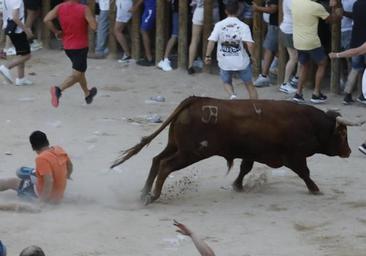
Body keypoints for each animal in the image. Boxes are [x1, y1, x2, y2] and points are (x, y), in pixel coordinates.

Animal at [111, 96, 364, 204]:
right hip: (191, 152)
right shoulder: (294, 156)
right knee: (165, 165)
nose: (349, 151)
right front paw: (315, 189)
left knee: (156, 160)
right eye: (342, 134)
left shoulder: (251, 154)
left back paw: (144, 192)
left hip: (175, 146)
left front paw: (237, 186)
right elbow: (305, 173)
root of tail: (194, 100)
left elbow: (244, 169)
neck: (310, 123)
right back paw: (153, 196)